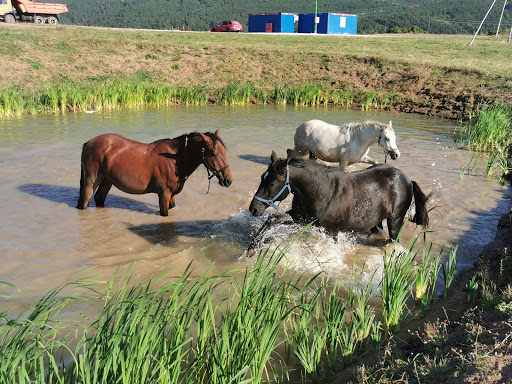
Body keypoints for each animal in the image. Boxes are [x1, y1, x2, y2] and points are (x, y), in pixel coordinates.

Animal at [75, 130, 232, 216]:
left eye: (225, 153)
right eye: (214, 154)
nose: (228, 181)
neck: (175, 159)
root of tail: (88, 143)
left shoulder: (172, 196)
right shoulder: (164, 195)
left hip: (107, 180)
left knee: (99, 198)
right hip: (91, 180)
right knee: (85, 200)